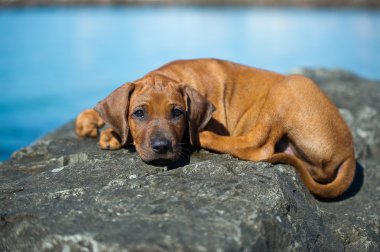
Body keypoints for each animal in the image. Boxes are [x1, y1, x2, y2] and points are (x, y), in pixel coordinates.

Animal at [76, 58, 356, 198]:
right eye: (139, 113)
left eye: (177, 113)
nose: (162, 147)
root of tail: (350, 154)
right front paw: (99, 125)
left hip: (288, 88)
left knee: (258, 146)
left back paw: (203, 137)